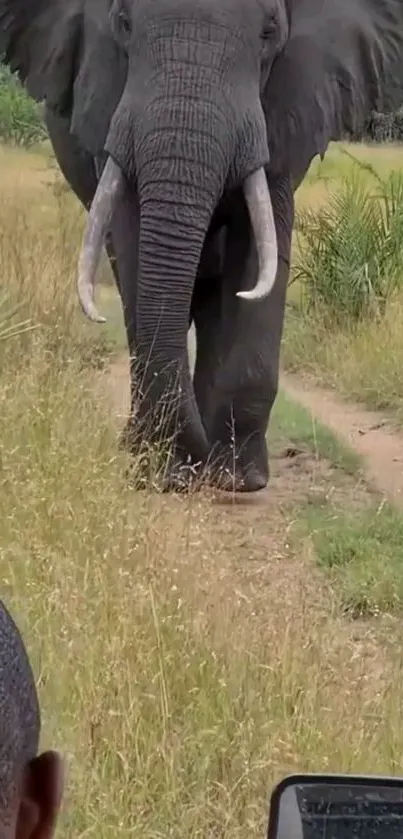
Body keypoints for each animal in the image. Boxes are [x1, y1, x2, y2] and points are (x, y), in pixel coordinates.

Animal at [0, 0, 403, 492]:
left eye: (270, 30)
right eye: (123, 23)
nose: (193, 460)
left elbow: (259, 253)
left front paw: (239, 479)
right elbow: (134, 242)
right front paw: (166, 471)